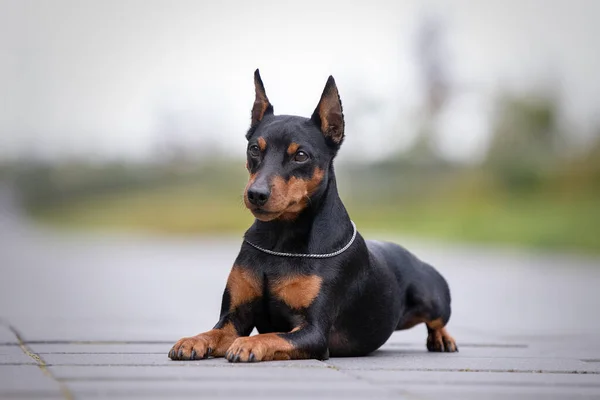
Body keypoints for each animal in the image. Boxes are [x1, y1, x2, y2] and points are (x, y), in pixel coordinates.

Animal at [169, 69, 460, 362]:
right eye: (254, 149)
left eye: (300, 155)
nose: (256, 194)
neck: (280, 240)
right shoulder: (234, 317)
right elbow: (215, 332)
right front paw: (192, 341)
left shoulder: (314, 332)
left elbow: (272, 336)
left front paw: (247, 345)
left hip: (431, 298)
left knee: (438, 320)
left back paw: (443, 339)